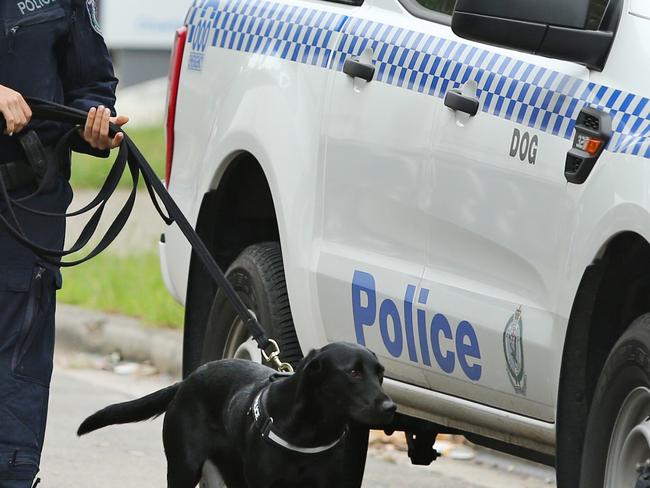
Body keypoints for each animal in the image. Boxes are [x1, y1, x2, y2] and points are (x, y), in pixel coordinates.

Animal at [78, 344, 392, 488]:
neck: (312, 430)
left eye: (380, 374)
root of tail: (187, 380)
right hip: (184, 468)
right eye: (353, 372)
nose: (390, 407)